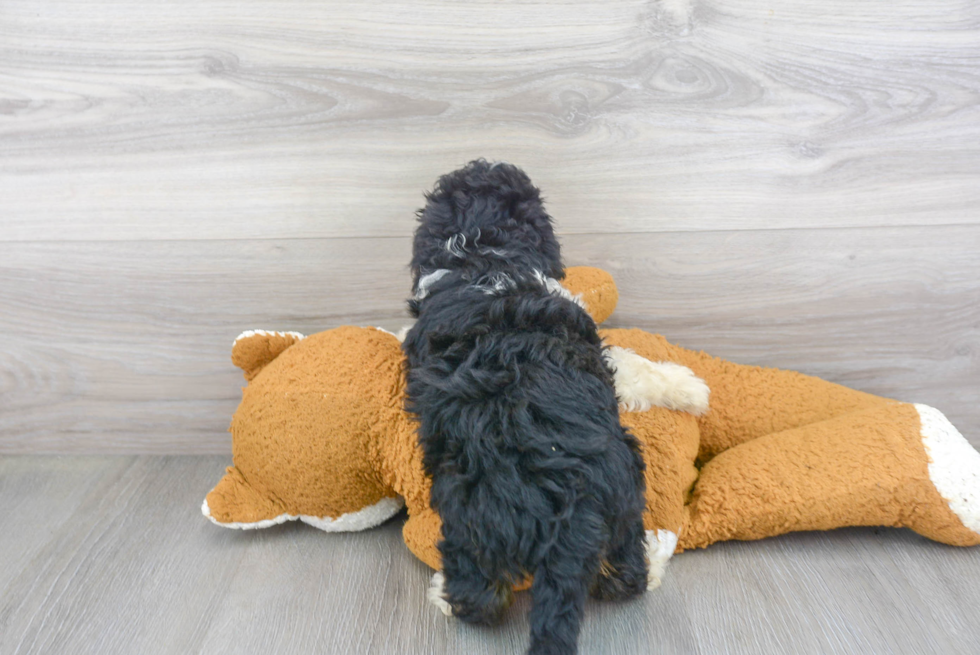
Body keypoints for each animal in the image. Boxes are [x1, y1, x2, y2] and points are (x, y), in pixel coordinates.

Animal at [402, 160, 656, 655]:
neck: (485, 253)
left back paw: (448, 595)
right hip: (625, 487)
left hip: (467, 508)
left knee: (480, 592)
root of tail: (573, 514)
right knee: (624, 566)